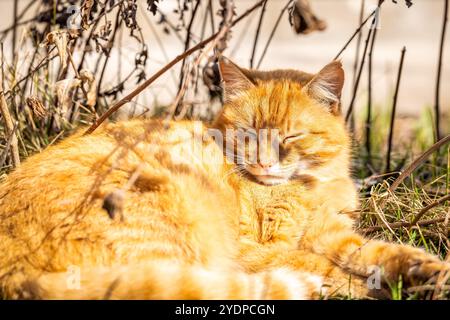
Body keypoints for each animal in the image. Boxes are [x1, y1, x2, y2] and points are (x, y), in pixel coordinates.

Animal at [0, 58, 448, 300]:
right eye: (248, 134)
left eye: (290, 137)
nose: (265, 164)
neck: (312, 187)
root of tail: (16, 272)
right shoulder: (257, 250)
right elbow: (321, 264)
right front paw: (358, 286)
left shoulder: (334, 234)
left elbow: (378, 252)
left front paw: (427, 271)